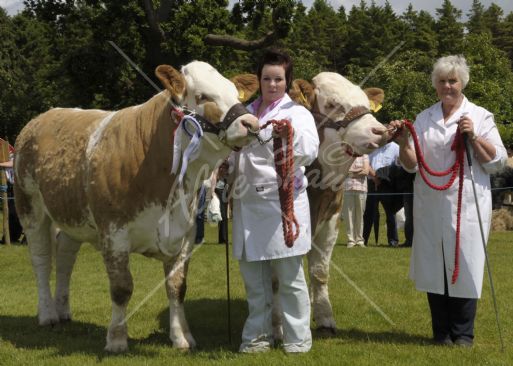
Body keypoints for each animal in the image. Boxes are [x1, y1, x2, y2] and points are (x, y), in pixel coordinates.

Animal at [14, 60, 260, 352]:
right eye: (202, 96)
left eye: (236, 95)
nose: (251, 123)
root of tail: (43, 117)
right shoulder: (113, 233)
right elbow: (122, 288)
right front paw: (117, 340)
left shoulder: (185, 235)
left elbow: (177, 287)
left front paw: (181, 338)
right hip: (30, 207)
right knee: (41, 260)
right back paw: (48, 314)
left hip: (72, 216)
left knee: (64, 259)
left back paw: (62, 310)